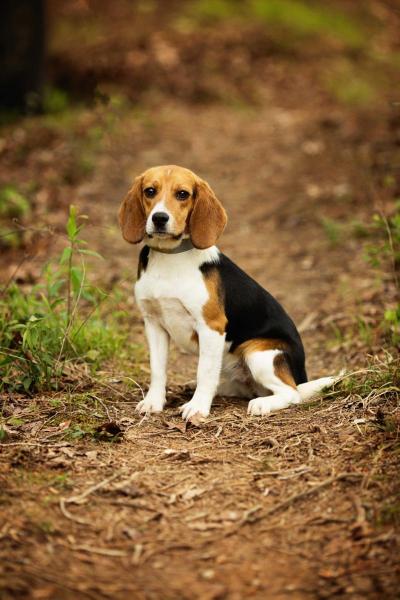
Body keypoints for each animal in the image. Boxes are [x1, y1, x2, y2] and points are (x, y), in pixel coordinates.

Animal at [118, 164, 334, 418]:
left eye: (182, 194)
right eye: (150, 191)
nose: (159, 218)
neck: (170, 257)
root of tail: (301, 376)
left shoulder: (212, 326)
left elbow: (204, 372)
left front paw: (197, 407)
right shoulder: (153, 323)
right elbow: (158, 369)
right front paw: (154, 402)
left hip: (258, 352)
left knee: (291, 393)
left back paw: (262, 404)